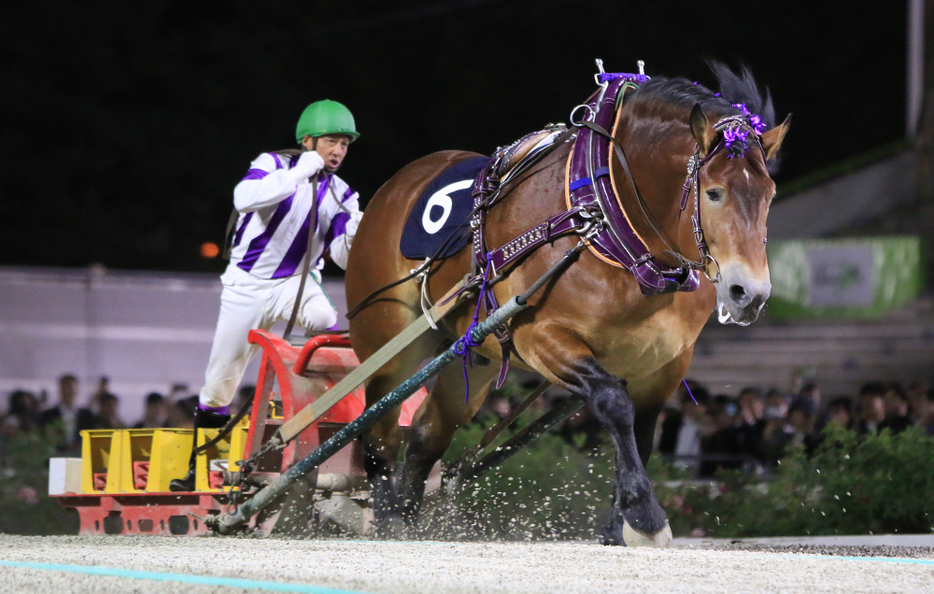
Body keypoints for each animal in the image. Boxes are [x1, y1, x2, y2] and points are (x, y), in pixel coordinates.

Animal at [344, 62, 788, 544]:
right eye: (713, 192)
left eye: (769, 195)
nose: (750, 294)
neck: (608, 223)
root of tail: (399, 184)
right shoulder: (542, 337)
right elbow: (613, 404)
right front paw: (644, 514)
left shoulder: (664, 362)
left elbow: (641, 433)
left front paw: (618, 525)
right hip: (389, 344)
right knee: (379, 430)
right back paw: (388, 517)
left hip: (474, 357)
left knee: (428, 432)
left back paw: (409, 519)